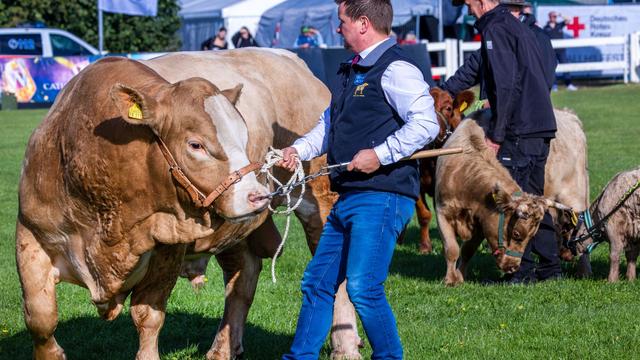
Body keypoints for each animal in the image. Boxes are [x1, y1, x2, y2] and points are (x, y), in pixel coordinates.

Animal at [15, 57, 270, 358]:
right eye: (196, 145)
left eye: (244, 138)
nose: (258, 196)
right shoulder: (30, 233)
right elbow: (40, 317)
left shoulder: (167, 247)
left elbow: (149, 315)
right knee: (242, 276)